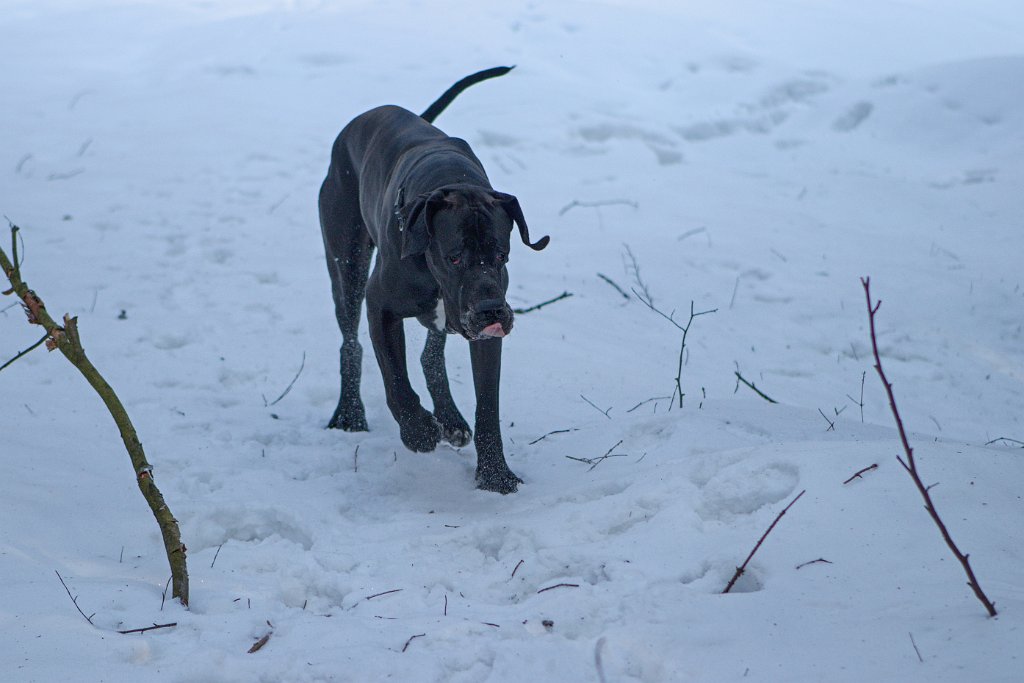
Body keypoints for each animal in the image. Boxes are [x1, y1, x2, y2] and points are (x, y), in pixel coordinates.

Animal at [319, 66, 548, 493]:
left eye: (502, 255)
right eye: (453, 257)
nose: (491, 309)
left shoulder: (486, 334)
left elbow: (487, 406)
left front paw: (495, 475)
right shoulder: (381, 306)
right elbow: (396, 382)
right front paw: (419, 431)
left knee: (430, 355)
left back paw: (451, 420)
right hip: (348, 266)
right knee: (349, 343)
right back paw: (350, 414)